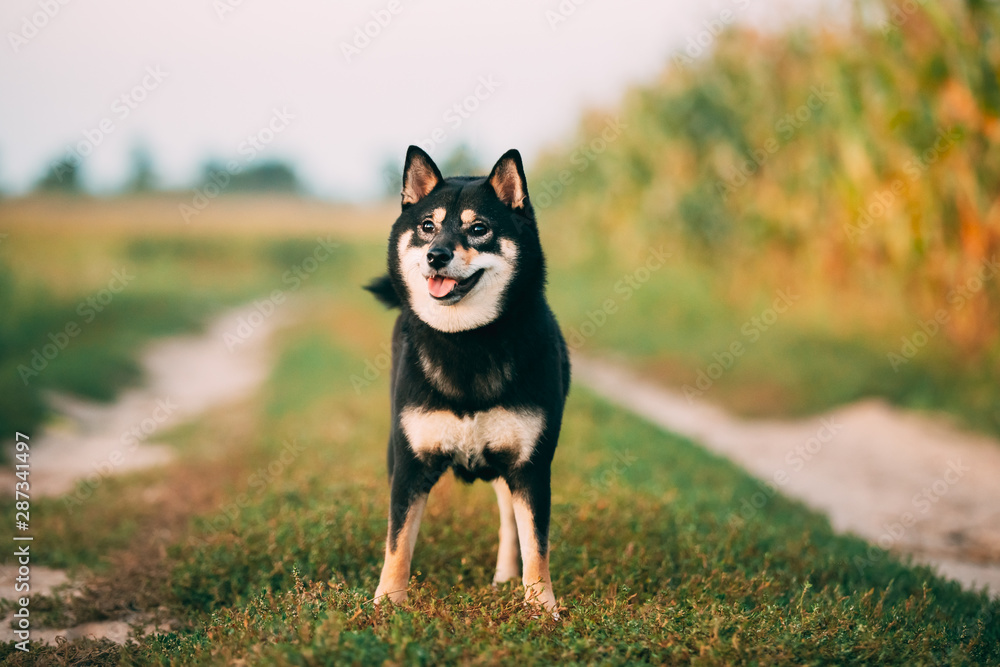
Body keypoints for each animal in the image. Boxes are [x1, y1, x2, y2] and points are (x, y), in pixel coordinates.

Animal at [368, 146, 572, 616]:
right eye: (427, 226)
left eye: (478, 229)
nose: (436, 255)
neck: (466, 342)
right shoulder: (409, 467)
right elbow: (398, 541)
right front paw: (386, 604)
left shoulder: (530, 467)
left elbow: (536, 544)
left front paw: (542, 609)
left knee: (509, 522)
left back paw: (505, 579)